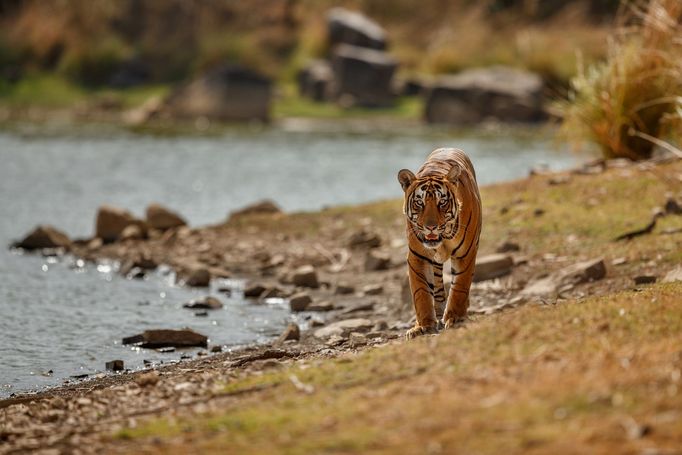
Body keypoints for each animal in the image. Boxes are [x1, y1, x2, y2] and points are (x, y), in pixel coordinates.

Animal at [396, 148, 480, 340]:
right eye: (419, 203)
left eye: (442, 202)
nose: (431, 227)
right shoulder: (417, 257)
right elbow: (421, 293)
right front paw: (423, 326)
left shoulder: (466, 254)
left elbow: (460, 287)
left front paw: (455, 318)